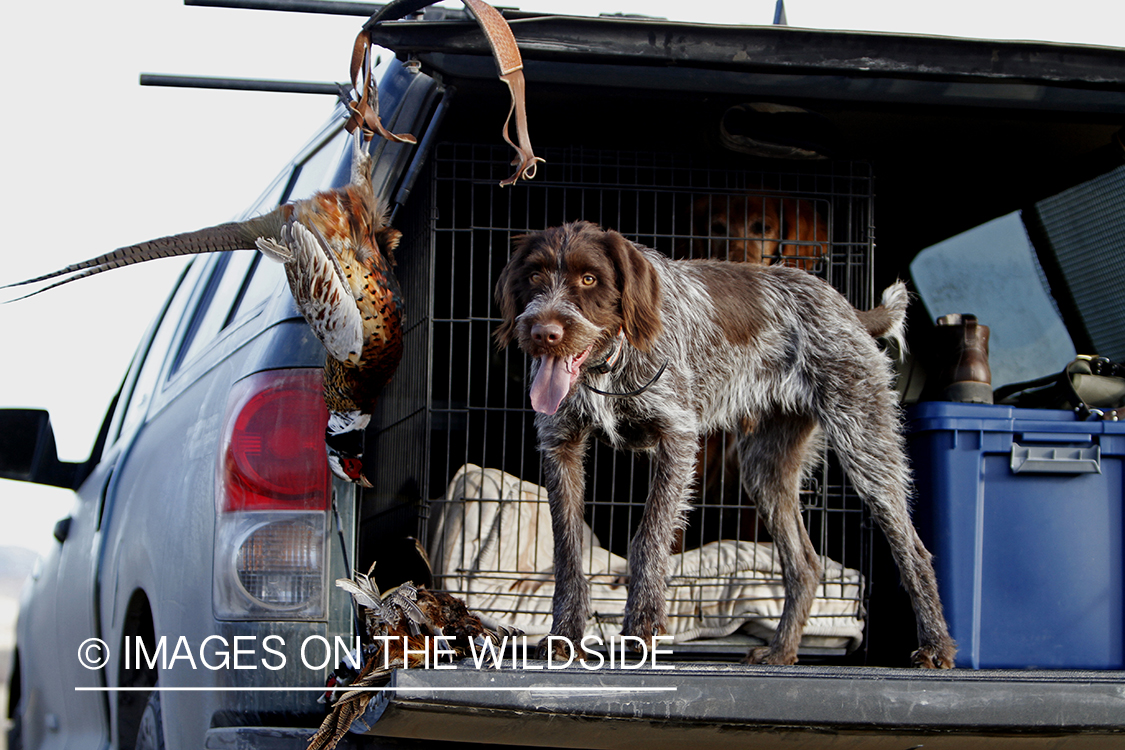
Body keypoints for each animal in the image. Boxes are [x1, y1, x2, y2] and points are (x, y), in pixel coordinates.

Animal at [497, 220, 954, 665]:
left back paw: (936, 646)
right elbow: (568, 549)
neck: (608, 364)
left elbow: (649, 537)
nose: (544, 333)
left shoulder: (677, 438)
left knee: (913, 551)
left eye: (589, 279)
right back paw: (781, 651)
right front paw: (564, 638)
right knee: (805, 564)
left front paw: (643, 628)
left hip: (864, 442)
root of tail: (845, 307)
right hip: (766, 471)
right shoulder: (561, 446)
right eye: (534, 276)